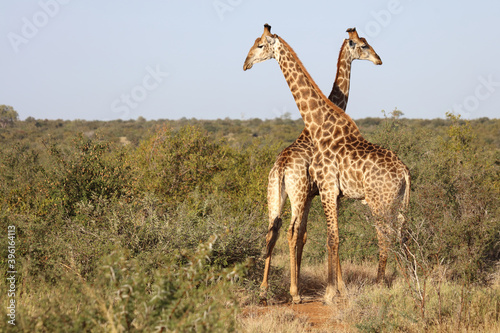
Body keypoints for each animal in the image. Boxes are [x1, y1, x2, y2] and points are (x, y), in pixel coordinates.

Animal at [243, 24, 410, 302]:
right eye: (364, 45)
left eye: (259, 45)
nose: (245, 63)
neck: (318, 125)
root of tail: (405, 171)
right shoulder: (327, 192)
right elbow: (330, 238)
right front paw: (334, 290)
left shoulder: (326, 192)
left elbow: (326, 237)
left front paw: (332, 290)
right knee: (395, 235)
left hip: (371, 200)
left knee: (389, 235)